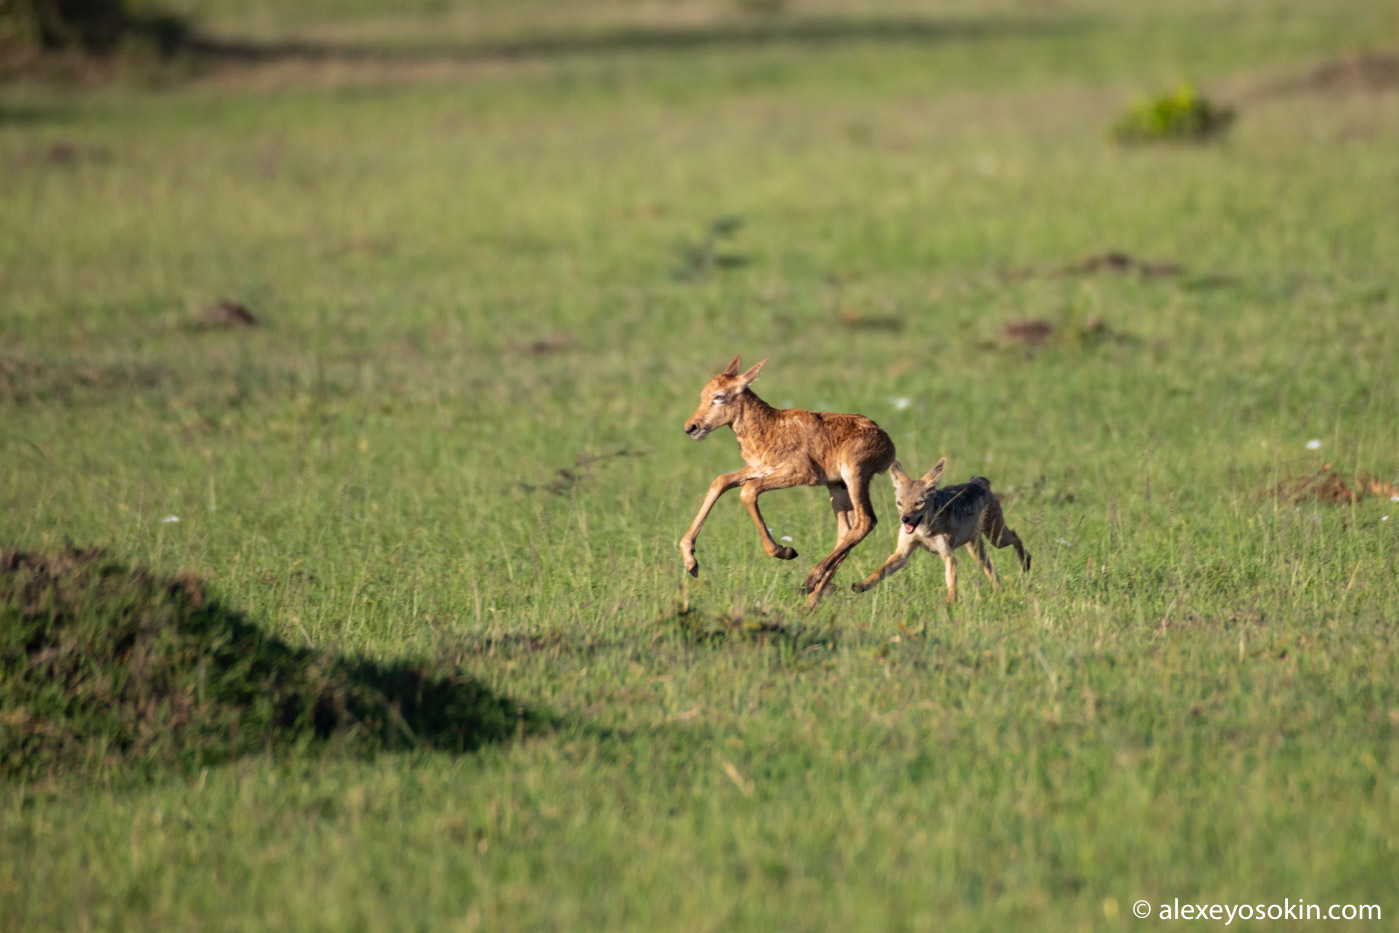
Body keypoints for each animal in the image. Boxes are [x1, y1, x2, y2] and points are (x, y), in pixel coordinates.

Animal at [677, 353, 895, 609]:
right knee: (847, 530)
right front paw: (691, 562)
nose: (691, 427)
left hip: (854, 475)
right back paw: (810, 600)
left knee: (866, 521)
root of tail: (887, 442)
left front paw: (785, 551)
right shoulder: (757, 469)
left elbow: (748, 491)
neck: (770, 426)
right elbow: (720, 481)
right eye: (704, 393)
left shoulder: (797, 473)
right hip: (837, 487)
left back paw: (810, 581)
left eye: (720, 396)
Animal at [844, 458, 1035, 607]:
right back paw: (1000, 592)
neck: (923, 530)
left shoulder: (947, 554)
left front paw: (950, 604)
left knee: (1016, 536)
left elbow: (951, 583)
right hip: (977, 551)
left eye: (919, 503)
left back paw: (1026, 562)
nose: (905, 519)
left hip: (996, 538)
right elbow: (879, 572)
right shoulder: (902, 554)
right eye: (899, 503)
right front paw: (861, 585)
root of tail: (977, 481)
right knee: (993, 572)